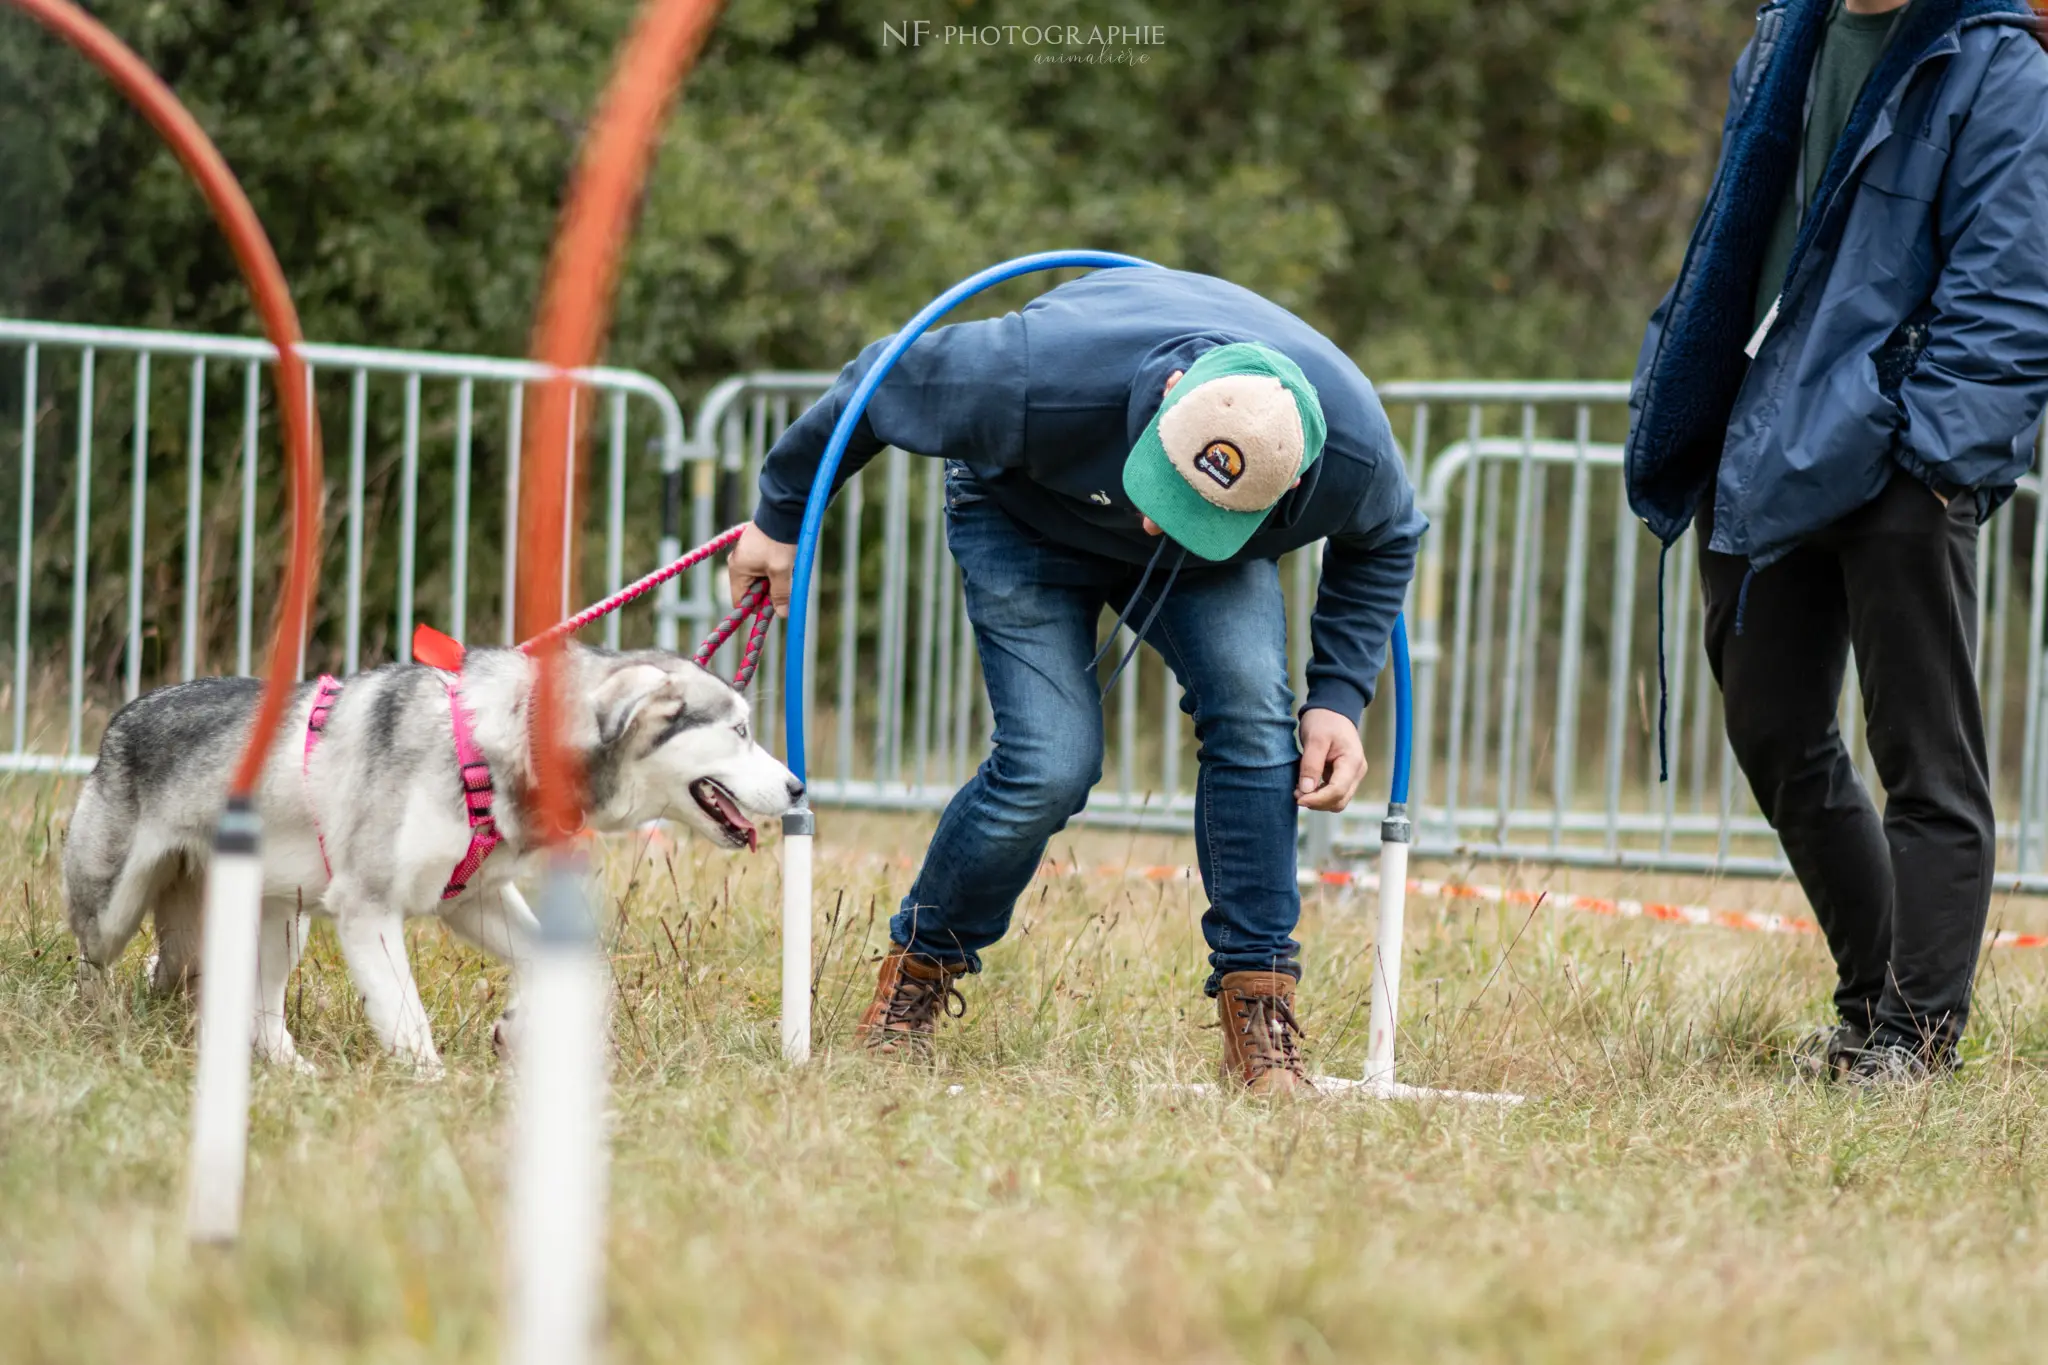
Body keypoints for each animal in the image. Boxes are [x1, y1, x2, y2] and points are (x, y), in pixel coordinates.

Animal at [66, 646, 798, 1072]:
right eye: (739, 730)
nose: (798, 788)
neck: (494, 748)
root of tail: (122, 716)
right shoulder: (368, 910)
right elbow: (407, 1019)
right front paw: (433, 1091)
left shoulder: (471, 898)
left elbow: (568, 961)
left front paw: (516, 1026)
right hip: (113, 908)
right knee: (95, 963)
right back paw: (98, 1022)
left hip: (281, 921)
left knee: (244, 996)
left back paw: (286, 1067)